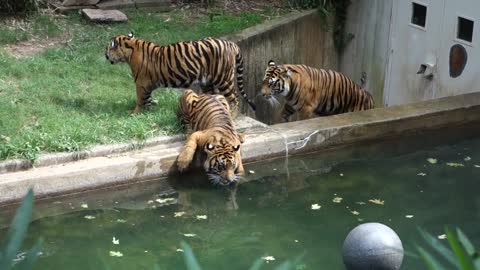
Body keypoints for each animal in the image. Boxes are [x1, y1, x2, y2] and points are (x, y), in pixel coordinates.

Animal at [103, 32, 256, 117]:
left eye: (107, 48)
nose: (105, 55)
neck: (130, 48)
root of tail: (231, 44)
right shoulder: (147, 84)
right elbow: (148, 99)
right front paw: (149, 112)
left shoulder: (141, 82)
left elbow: (140, 100)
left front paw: (135, 113)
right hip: (207, 82)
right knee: (214, 96)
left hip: (224, 79)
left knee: (235, 98)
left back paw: (232, 115)